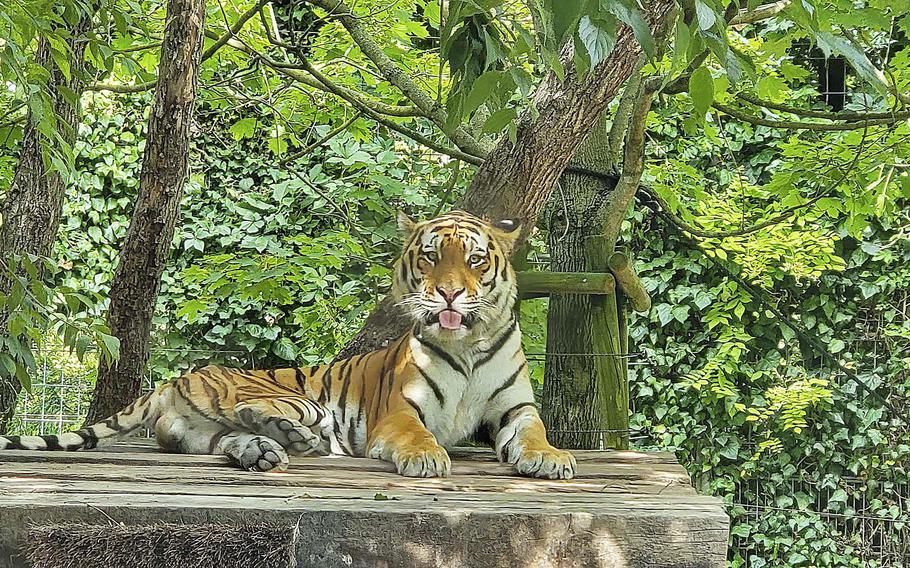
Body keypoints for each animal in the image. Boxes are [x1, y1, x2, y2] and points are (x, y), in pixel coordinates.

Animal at [0, 211, 576, 478]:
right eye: (432, 257)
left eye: (475, 260)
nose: (450, 293)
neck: (468, 344)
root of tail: (176, 378)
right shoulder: (400, 409)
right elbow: (416, 434)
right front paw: (427, 458)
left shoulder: (516, 408)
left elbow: (535, 432)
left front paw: (551, 459)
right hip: (295, 398)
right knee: (257, 411)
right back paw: (294, 440)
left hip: (196, 432)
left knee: (228, 436)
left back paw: (268, 449)